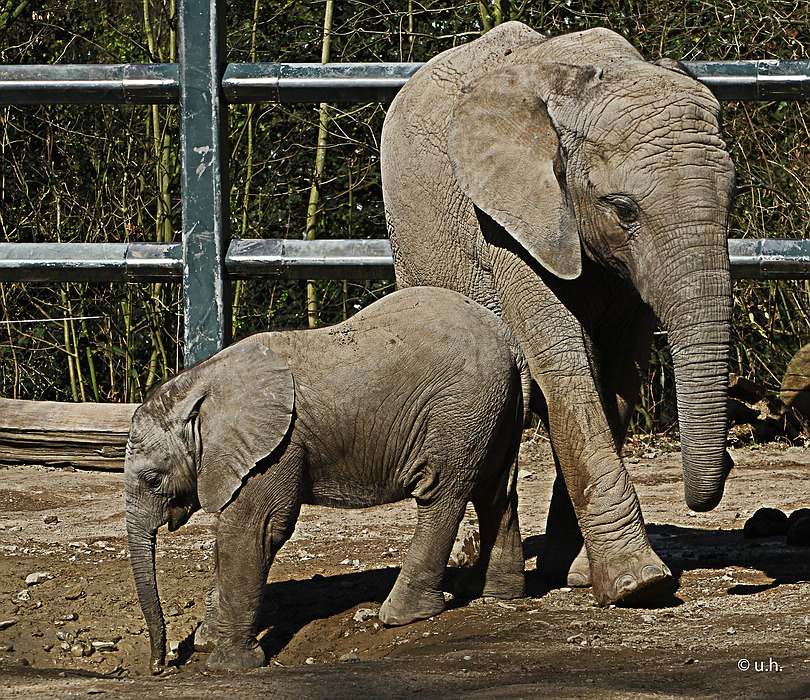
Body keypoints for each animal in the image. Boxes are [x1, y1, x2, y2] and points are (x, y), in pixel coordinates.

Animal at [123, 286, 532, 672]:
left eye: (153, 480)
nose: (159, 665)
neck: (200, 384)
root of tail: (510, 342)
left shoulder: (280, 446)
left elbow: (252, 529)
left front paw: (228, 664)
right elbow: (231, 531)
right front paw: (207, 640)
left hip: (460, 408)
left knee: (441, 494)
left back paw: (400, 616)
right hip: (492, 408)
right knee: (495, 492)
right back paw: (494, 592)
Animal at [378, 19, 732, 604]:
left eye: (734, 199)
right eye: (623, 210)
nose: (725, 464)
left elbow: (617, 375)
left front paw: (588, 577)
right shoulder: (510, 217)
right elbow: (564, 360)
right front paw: (638, 584)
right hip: (413, 244)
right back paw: (482, 574)